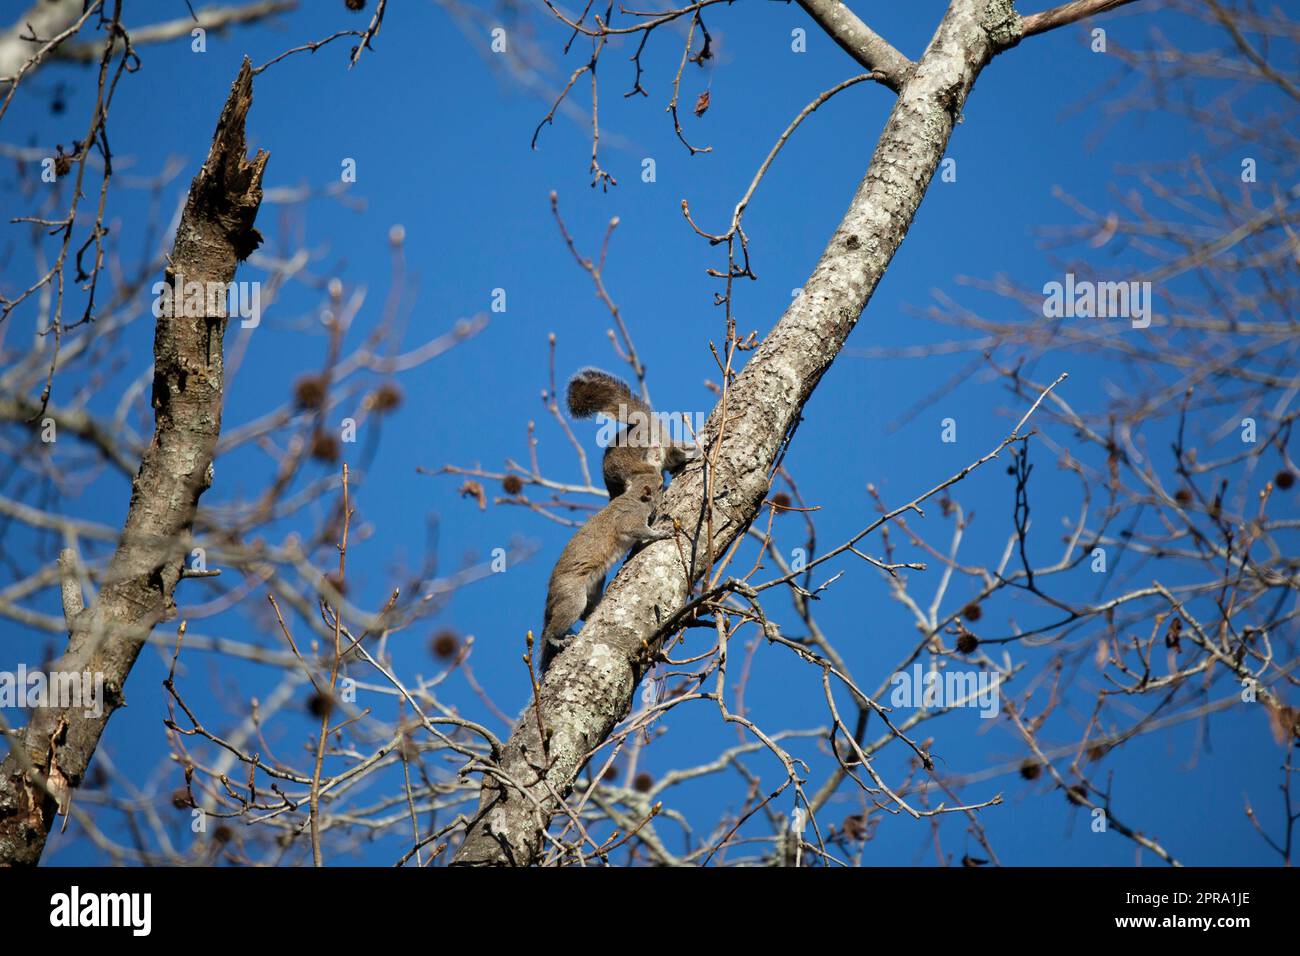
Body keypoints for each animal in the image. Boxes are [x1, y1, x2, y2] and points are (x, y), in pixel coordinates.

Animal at [539, 477, 672, 673]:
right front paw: (660, 533)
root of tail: (550, 598)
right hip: (571, 595)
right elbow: (636, 529)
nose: (665, 482)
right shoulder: (630, 516)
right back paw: (556, 639)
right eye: (660, 486)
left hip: (594, 586)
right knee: (555, 626)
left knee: (585, 613)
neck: (635, 497)